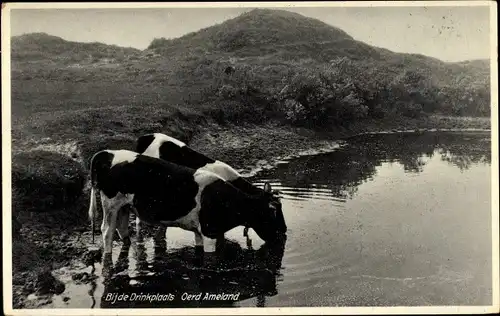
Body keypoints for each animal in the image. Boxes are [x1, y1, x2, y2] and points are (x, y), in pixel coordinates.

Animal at [89, 149, 286, 254]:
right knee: (107, 231)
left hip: (124, 206)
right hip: (110, 204)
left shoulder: (202, 232)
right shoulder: (209, 232)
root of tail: (108, 153)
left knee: (122, 229)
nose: (284, 231)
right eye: (273, 213)